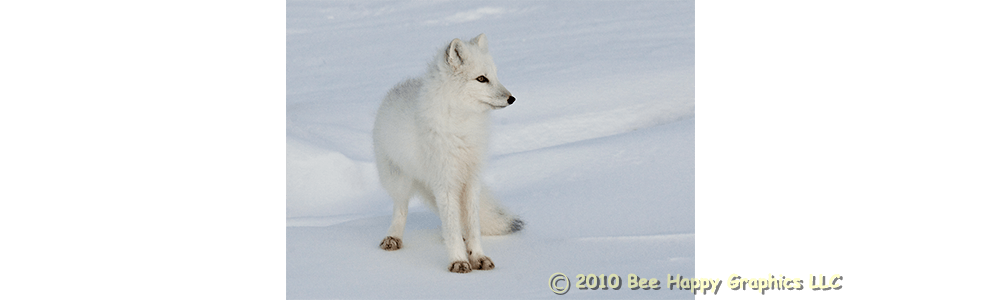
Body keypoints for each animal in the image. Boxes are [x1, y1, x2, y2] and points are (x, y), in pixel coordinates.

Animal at [372, 34, 524, 274]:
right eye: (481, 79)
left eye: (495, 76)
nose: (512, 98)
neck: (462, 127)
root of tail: (395, 89)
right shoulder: (445, 183)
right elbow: (451, 227)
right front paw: (459, 261)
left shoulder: (471, 181)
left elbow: (472, 226)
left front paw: (477, 257)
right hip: (399, 180)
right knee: (400, 209)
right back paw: (393, 237)